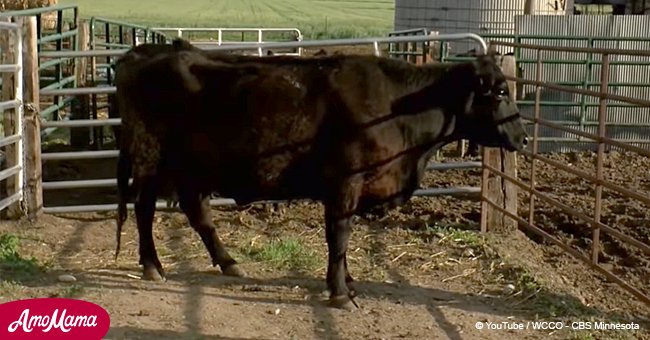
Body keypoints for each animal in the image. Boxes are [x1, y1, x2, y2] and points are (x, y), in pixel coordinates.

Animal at [112, 48, 528, 310]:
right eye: (500, 92)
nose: (523, 138)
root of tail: (144, 54)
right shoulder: (344, 183)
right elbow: (339, 235)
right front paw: (340, 291)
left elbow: (342, 240)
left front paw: (346, 281)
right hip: (151, 159)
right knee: (145, 209)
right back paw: (152, 266)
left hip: (192, 168)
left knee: (197, 212)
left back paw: (229, 262)